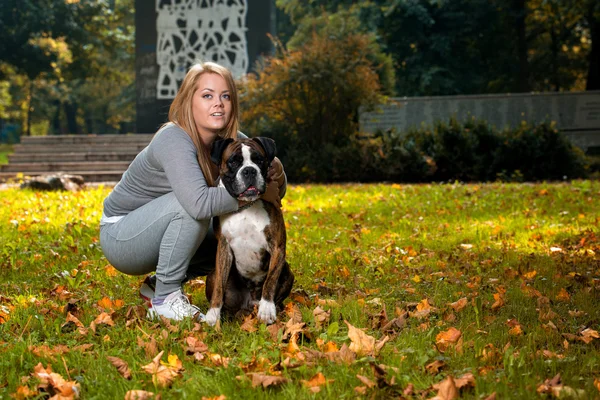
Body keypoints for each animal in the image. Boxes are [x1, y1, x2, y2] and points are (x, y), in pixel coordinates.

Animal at [205, 138, 294, 324]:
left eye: (259, 160)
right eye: (233, 162)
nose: (249, 170)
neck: (246, 206)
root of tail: (250, 303)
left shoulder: (277, 247)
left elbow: (270, 280)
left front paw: (267, 309)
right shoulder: (223, 247)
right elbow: (219, 287)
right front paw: (212, 315)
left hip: (287, 271)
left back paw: (276, 308)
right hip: (212, 275)